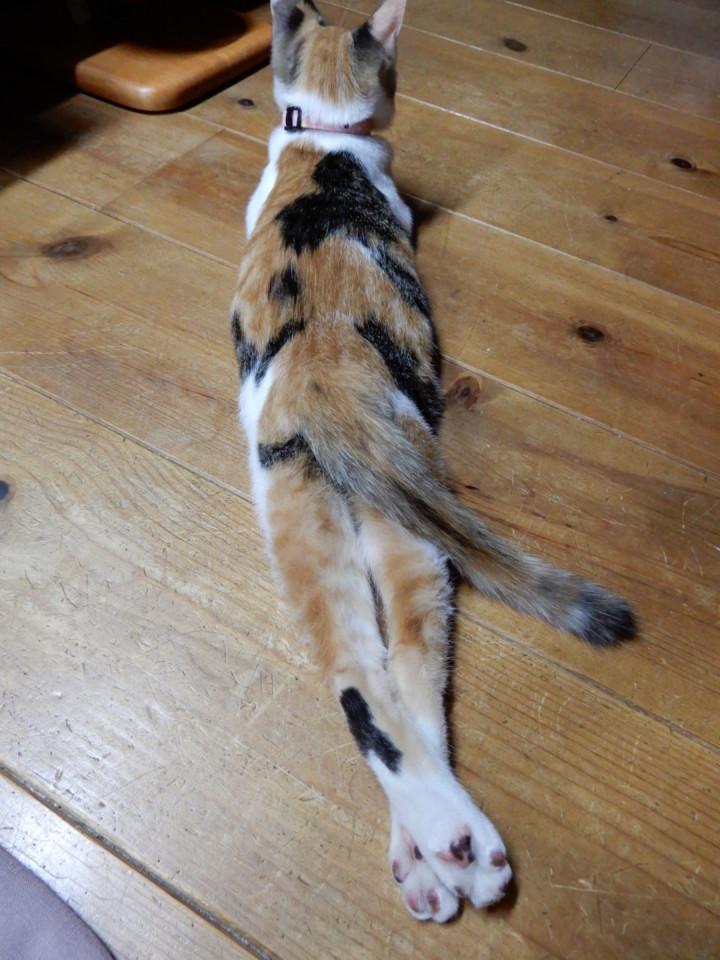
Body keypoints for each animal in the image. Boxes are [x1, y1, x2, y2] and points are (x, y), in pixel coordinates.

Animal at [230, 0, 636, 922]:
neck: (322, 145)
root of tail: (326, 375)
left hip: (308, 513)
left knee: (368, 681)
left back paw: (436, 852)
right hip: (398, 535)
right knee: (406, 679)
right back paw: (460, 849)